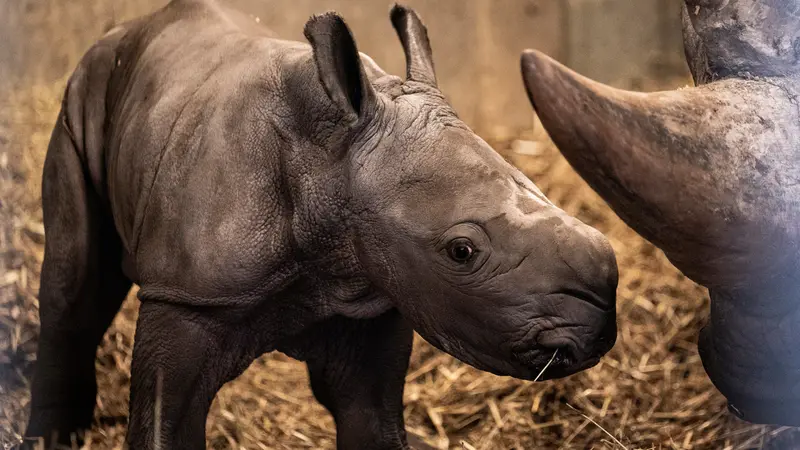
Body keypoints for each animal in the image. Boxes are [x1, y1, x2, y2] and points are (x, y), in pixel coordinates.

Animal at [21, 1, 616, 448]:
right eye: (462, 251)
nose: (596, 326)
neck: (330, 160)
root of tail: (128, 27)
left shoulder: (375, 288)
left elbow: (370, 420)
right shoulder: (187, 292)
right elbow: (166, 423)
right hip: (82, 96)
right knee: (74, 289)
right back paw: (52, 437)